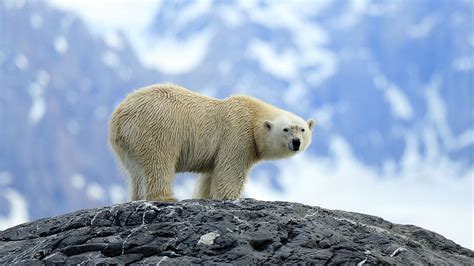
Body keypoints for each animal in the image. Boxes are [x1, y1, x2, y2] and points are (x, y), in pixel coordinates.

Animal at [107, 84, 314, 201]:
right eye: (286, 129)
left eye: (302, 129)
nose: (296, 142)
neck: (253, 114)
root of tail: (120, 114)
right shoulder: (238, 135)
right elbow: (230, 170)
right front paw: (231, 197)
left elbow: (210, 175)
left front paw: (205, 196)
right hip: (156, 127)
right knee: (158, 162)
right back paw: (166, 198)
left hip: (127, 144)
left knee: (136, 171)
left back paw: (136, 198)